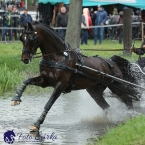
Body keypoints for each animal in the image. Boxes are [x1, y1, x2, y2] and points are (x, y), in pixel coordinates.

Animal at [11, 21, 140, 131]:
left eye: (32, 39)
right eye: (22, 38)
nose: (24, 59)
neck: (58, 57)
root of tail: (111, 62)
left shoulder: (60, 85)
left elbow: (48, 104)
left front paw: (37, 124)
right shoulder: (45, 81)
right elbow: (27, 81)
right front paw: (16, 98)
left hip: (117, 86)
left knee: (128, 99)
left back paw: (130, 116)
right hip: (95, 91)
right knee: (106, 106)